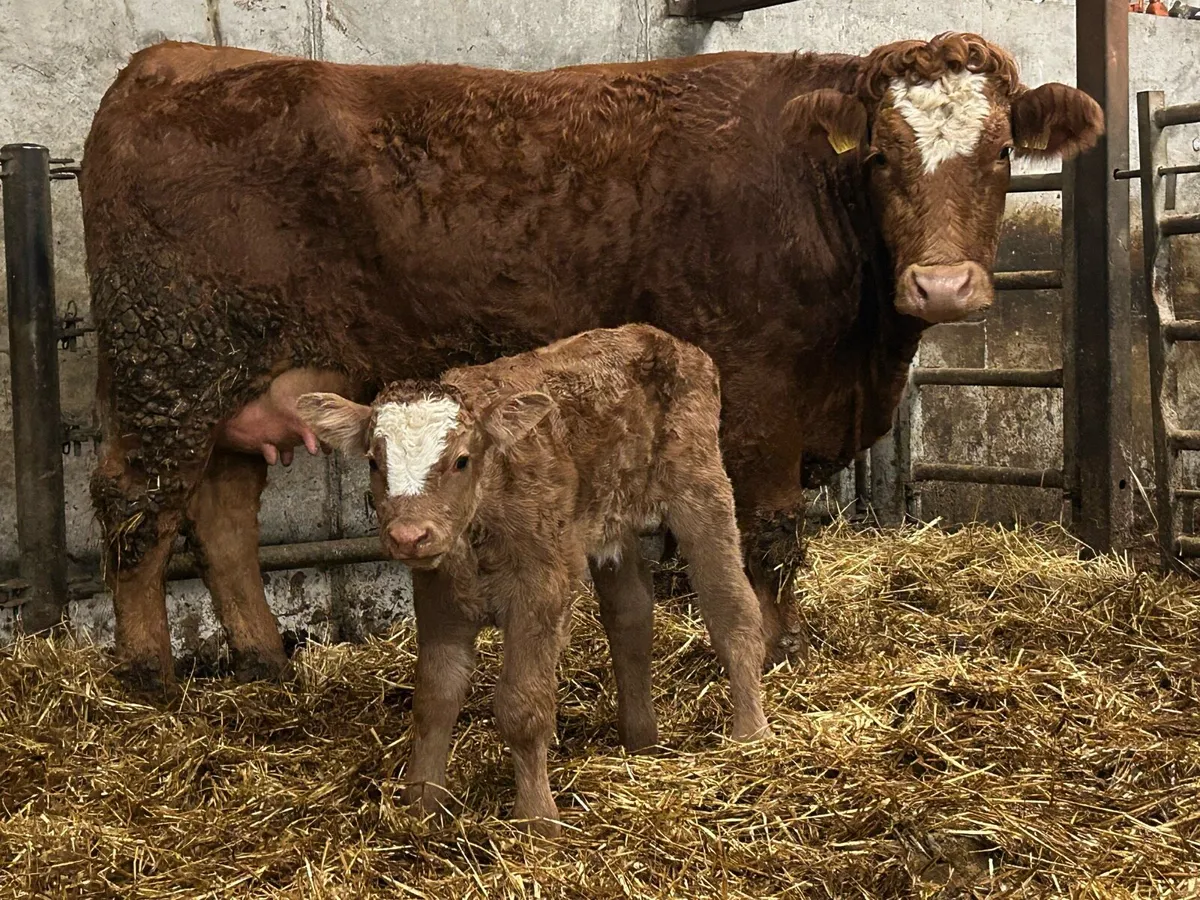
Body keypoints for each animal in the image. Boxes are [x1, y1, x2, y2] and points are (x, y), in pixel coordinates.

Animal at [80, 33, 1103, 704]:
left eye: (1004, 151)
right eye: (882, 155)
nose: (942, 284)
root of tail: (169, 60)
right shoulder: (760, 395)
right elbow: (769, 534)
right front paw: (772, 651)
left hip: (235, 381)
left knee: (219, 511)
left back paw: (262, 659)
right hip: (167, 365)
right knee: (137, 506)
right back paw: (150, 675)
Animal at [295, 323, 770, 834]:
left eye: (461, 460)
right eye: (373, 462)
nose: (409, 535)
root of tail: (658, 336)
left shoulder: (540, 590)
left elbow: (521, 707)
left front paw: (537, 820)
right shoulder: (438, 598)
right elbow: (434, 700)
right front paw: (421, 805)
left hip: (700, 483)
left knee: (732, 610)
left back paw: (750, 734)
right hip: (609, 516)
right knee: (630, 614)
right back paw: (641, 738)